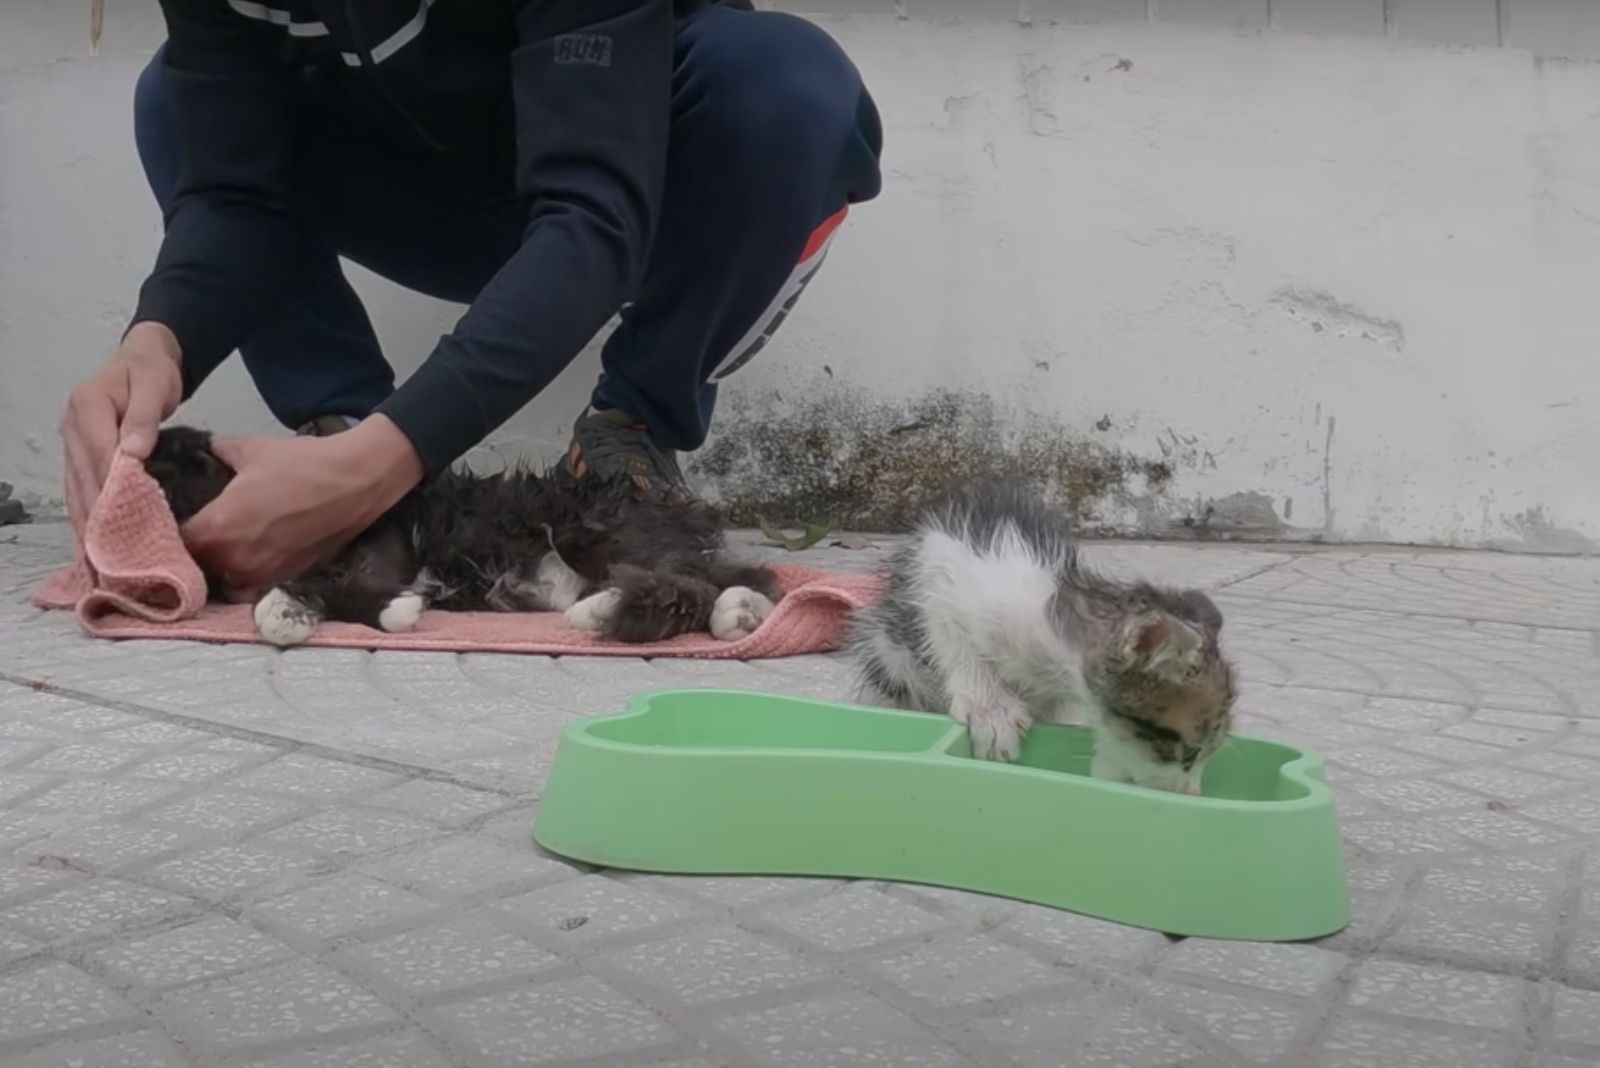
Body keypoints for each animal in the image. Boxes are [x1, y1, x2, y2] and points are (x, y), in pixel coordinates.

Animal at [147, 428, 784, 645]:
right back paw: (740, 613)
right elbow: (280, 595)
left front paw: (394, 611)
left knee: (720, 581)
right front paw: (287, 611)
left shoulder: (385, 530)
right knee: (736, 580)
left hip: (593, 531)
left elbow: (353, 580)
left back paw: (613, 611)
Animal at [851, 482, 1235, 793]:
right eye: (1188, 751)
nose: (1192, 795)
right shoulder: (947, 555)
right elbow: (945, 619)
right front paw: (989, 707)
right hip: (888, 659)